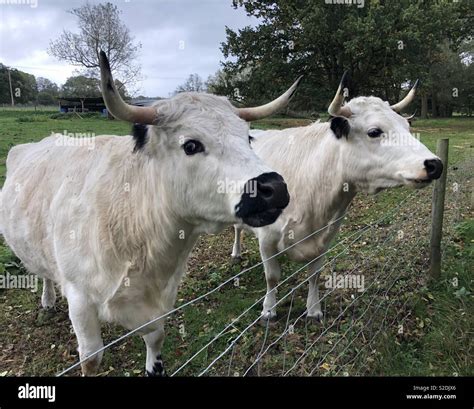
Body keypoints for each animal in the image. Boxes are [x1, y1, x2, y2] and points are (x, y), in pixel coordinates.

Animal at [0, 51, 300, 376]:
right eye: (191, 144)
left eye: (248, 139)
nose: (275, 187)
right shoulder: (80, 301)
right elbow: (91, 358)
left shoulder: (162, 298)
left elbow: (156, 338)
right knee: (43, 272)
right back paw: (47, 299)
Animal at [231, 74, 442, 322]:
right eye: (374, 131)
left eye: (407, 127)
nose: (435, 164)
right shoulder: (266, 239)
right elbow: (272, 277)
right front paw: (268, 310)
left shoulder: (325, 238)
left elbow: (314, 275)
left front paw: (314, 310)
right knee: (237, 229)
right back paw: (236, 253)